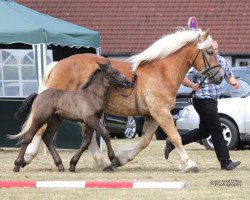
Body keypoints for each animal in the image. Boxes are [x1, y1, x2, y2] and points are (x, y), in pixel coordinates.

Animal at [17, 27, 224, 172]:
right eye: (210, 52)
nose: (220, 77)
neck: (162, 71)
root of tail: (59, 63)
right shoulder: (161, 112)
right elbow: (175, 137)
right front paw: (189, 164)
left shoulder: (152, 116)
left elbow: (145, 141)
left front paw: (119, 159)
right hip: (53, 112)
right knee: (40, 132)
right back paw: (26, 157)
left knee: (86, 138)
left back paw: (102, 162)